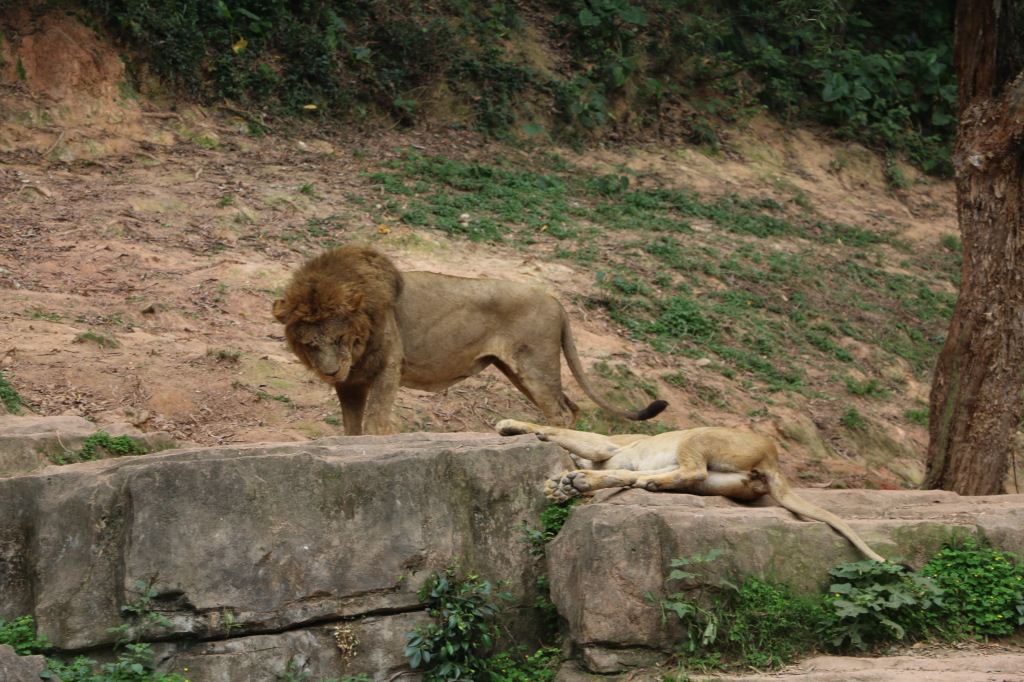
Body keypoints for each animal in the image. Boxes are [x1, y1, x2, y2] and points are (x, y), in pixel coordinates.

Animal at [272, 246, 667, 432]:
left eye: (339, 337)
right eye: (311, 344)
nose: (330, 371)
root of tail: (555, 300)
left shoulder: (388, 366)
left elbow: (375, 422)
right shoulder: (351, 382)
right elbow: (351, 427)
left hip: (535, 366)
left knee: (560, 412)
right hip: (519, 371)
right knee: (570, 408)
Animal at [495, 417, 888, 561]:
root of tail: (773, 458)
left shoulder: (603, 445)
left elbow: (557, 429)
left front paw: (511, 425)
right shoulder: (608, 456)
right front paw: (563, 486)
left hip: (697, 436)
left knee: (691, 469)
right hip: (715, 479)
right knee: (678, 477)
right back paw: (637, 482)